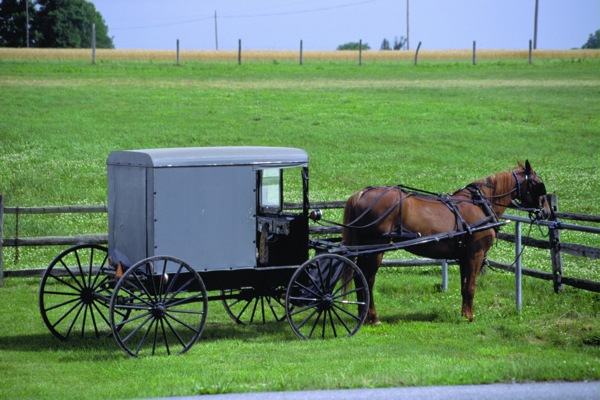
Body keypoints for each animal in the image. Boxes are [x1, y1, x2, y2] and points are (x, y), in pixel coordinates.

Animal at [342, 161, 548, 324]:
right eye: (539, 184)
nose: (546, 211)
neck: (480, 205)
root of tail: (362, 193)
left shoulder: (464, 257)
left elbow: (464, 287)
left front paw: (464, 314)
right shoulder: (475, 254)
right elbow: (471, 287)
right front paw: (470, 317)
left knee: (359, 276)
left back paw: (363, 314)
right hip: (375, 248)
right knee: (367, 278)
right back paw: (372, 318)